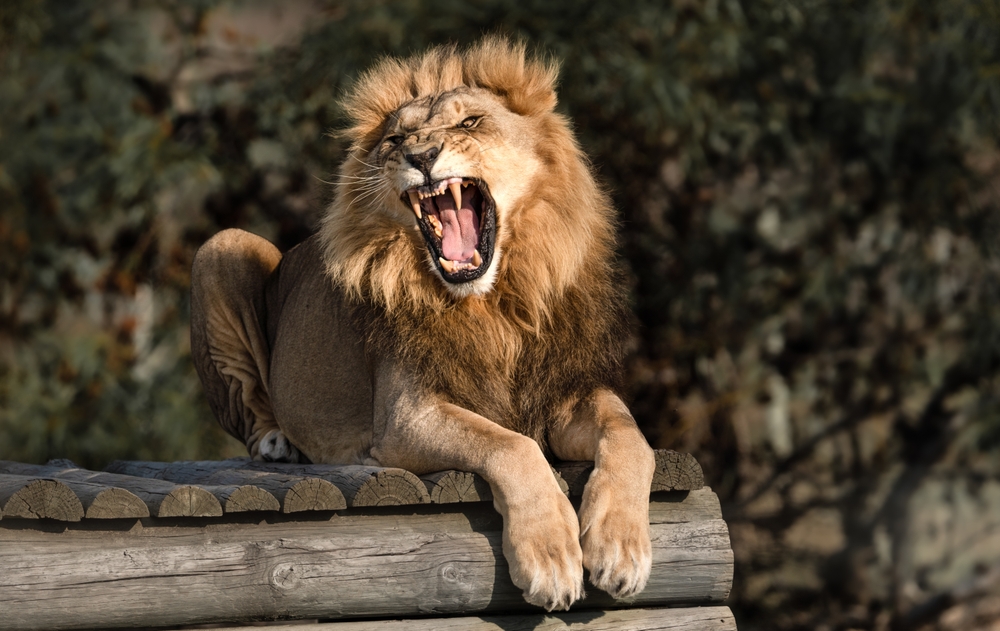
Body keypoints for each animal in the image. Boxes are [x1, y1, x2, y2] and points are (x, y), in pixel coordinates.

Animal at [189, 38, 656, 612]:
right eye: (396, 139)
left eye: (471, 122)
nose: (422, 156)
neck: (494, 304)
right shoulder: (406, 416)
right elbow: (510, 446)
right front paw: (550, 559)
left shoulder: (561, 393)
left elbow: (630, 435)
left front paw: (620, 548)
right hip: (223, 245)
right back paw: (280, 441)